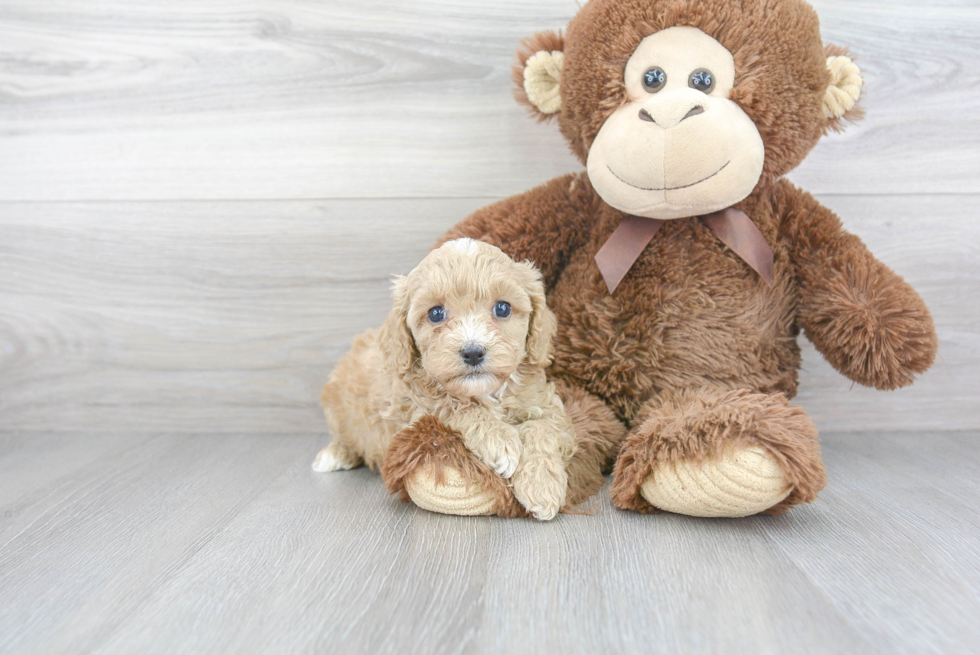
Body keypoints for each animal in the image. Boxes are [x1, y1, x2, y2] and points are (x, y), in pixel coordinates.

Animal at [312, 238, 576, 520]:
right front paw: (500, 441)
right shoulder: (413, 412)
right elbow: (455, 406)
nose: (473, 352)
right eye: (436, 313)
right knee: (343, 436)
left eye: (503, 308)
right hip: (336, 405)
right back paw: (334, 455)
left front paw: (542, 486)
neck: (486, 391)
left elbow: (542, 428)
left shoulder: (546, 406)